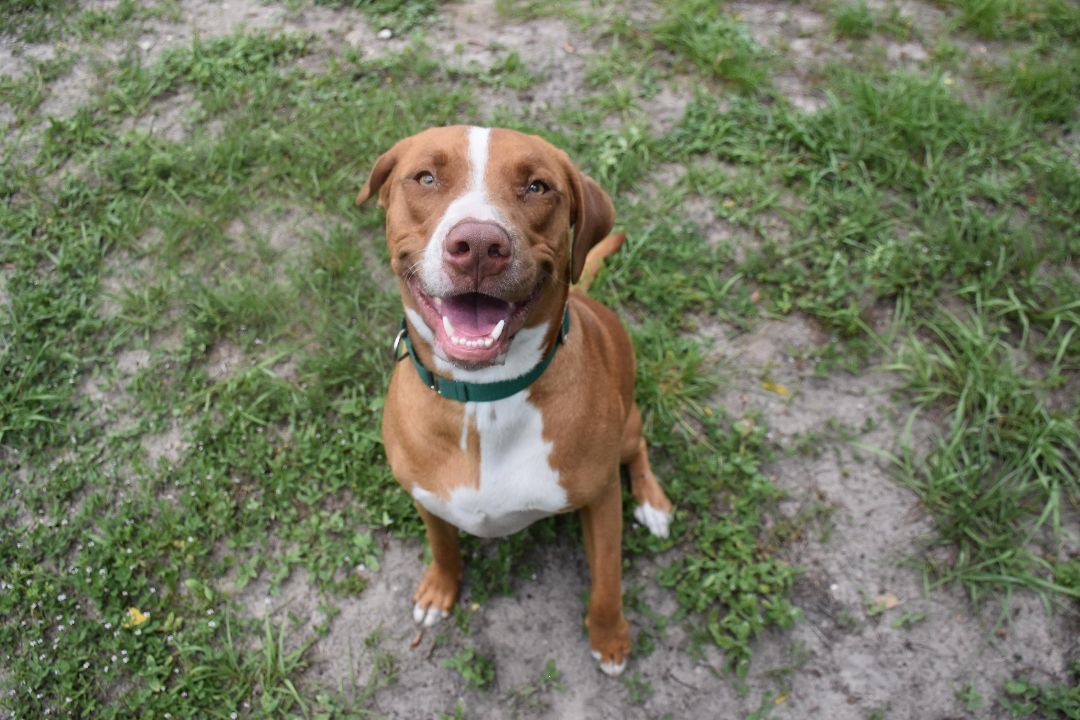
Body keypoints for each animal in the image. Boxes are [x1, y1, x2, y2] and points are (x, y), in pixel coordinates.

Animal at [358, 125, 669, 677]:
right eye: (426, 177)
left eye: (538, 187)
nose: (480, 245)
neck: (485, 399)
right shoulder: (424, 493)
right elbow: (442, 544)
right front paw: (440, 589)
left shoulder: (601, 496)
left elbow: (608, 578)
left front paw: (610, 637)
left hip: (629, 423)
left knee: (639, 450)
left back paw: (653, 504)